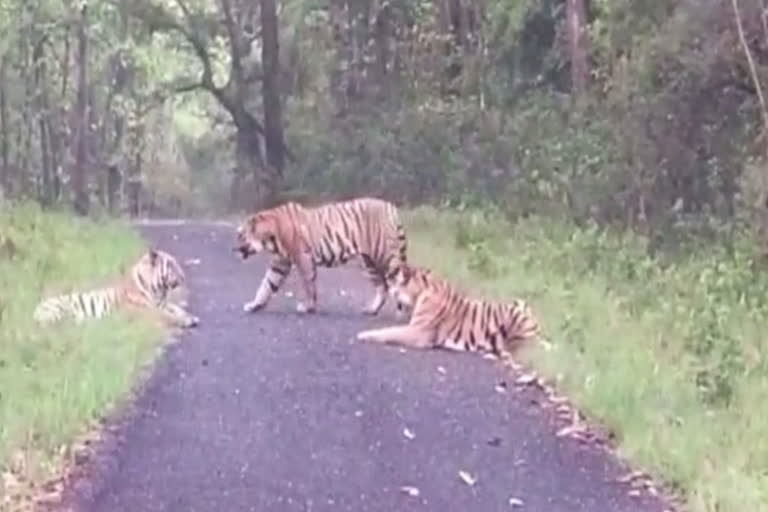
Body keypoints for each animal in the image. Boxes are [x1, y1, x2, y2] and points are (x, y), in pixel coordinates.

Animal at [33, 248, 201, 328]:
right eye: (171, 264)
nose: (183, 276)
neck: (158, 291)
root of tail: (36, 309)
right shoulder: (147, 311)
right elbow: (166, 316)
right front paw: (185, 321)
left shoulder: (163, 304)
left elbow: (178, 309)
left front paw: (191, 317)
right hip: (61, 310)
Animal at [236, 197, 408, 314]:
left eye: (241, 237)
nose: (234, 250)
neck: (270, 238)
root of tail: (390, 207)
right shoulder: (280, 262)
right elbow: (266, 285)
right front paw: (254, 305)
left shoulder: (302, 257)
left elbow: (308, 284)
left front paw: (308, 307)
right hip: (369, 262)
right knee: (382, 287)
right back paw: (372, 310)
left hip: (385, 256)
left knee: (399, 280)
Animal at [356, 264, 540, 356]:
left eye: (391, 282)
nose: (386, 287)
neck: (420, 292)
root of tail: (537, 329)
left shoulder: (418, 331)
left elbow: (389, 332)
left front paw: (363, 335)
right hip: (519, 303)